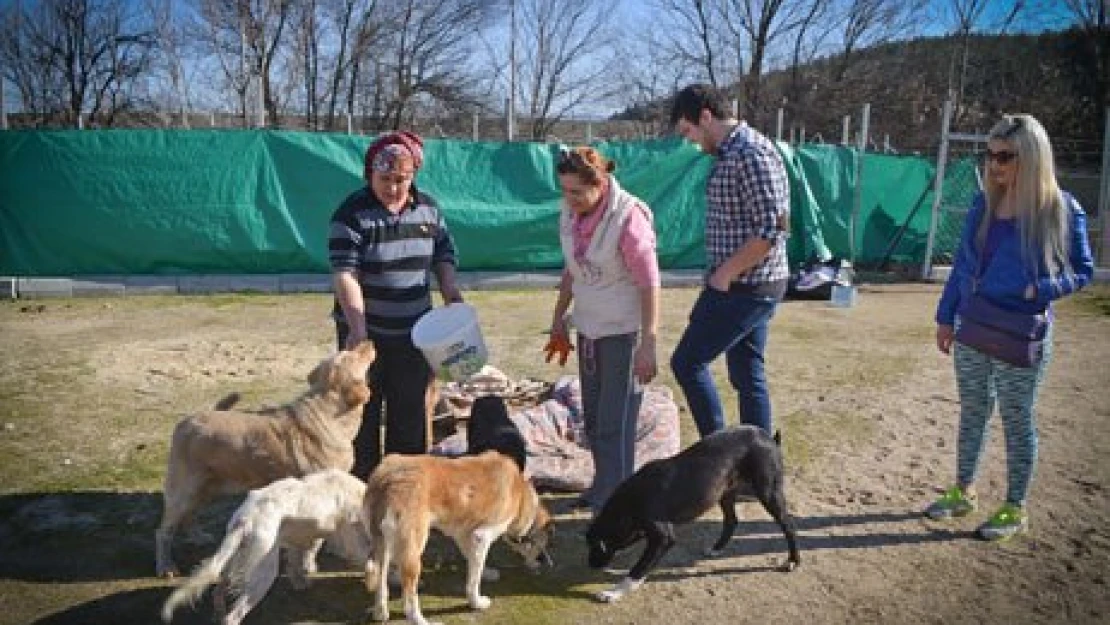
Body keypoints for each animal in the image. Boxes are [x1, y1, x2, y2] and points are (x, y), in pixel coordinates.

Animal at [156, 341, 379, 577]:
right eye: (353, 355)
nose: (369, 341)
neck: (329, 414)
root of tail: (187, 420)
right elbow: (315, 542)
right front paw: (309, 566)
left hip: (207, 487)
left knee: (190, 515)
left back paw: (197, 536)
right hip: (184, 491)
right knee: (163, 531)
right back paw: (166, 566)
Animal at [160, 470, 370, 625]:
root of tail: (245, 521)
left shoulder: (300, 538)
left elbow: (298, 559)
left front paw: (301, 580)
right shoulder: (346, 537)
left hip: (232, 561)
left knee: (217, 592)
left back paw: (216, 614)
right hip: (263, 574)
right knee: (232, 617)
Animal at [364, 452, 555, 625]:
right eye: (543, 548)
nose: (545, 562)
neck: (521, 494)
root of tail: (388, 478)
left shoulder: (465, 534)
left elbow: (474, 562)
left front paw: (486, 572)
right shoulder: (481, 536)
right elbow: (473, 580)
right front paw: (476, 603)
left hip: (382, 545)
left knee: (381, 583)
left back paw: (380, 613)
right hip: (412, 550)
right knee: (409, 598)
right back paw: (421, 620)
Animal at [581, 426, 799, 599]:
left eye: (594, 546)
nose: (590, 564)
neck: (628, 502)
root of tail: (769, 437)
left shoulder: (663, 538)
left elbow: (638, 568)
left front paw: (614, 592)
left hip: (768, 492)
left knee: (788, 525)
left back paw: (792, 561)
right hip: (724, 492)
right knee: (732, 520)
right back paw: (716, 548)